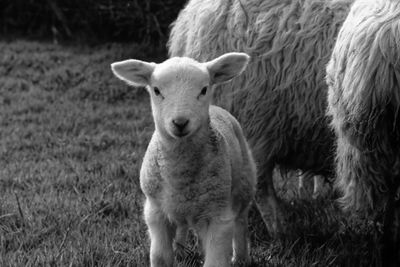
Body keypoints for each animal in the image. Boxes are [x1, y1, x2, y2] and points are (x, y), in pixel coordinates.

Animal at [109, 52, 256, 267]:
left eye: (204, 89)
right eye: (156, 90)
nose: (180, 123)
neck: (180, 175)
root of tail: (216, 108)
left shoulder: (219, 217)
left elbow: (215, 260)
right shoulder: (155, 212)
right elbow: (160, 257)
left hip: (244, 185)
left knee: (241, 222)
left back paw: (241, 258)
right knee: (181, 227)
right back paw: (180, 250)